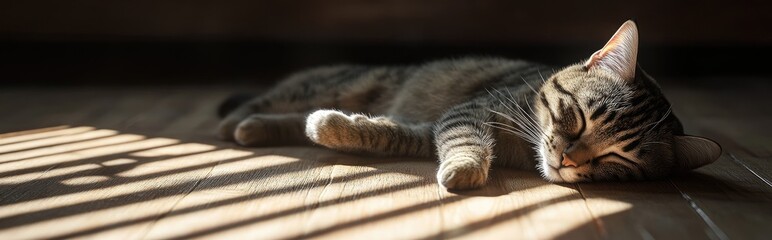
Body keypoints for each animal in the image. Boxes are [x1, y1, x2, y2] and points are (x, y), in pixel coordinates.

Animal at [219, 20, 724, 189]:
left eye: (619, 157)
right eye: (579, 118)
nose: (566, 159)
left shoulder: (433, 128)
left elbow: (391, 133)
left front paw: (332, 130)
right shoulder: (471, 111)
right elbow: (465, 140)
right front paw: (466, 167)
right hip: (336, 83)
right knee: (274, 98)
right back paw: (233, 123)